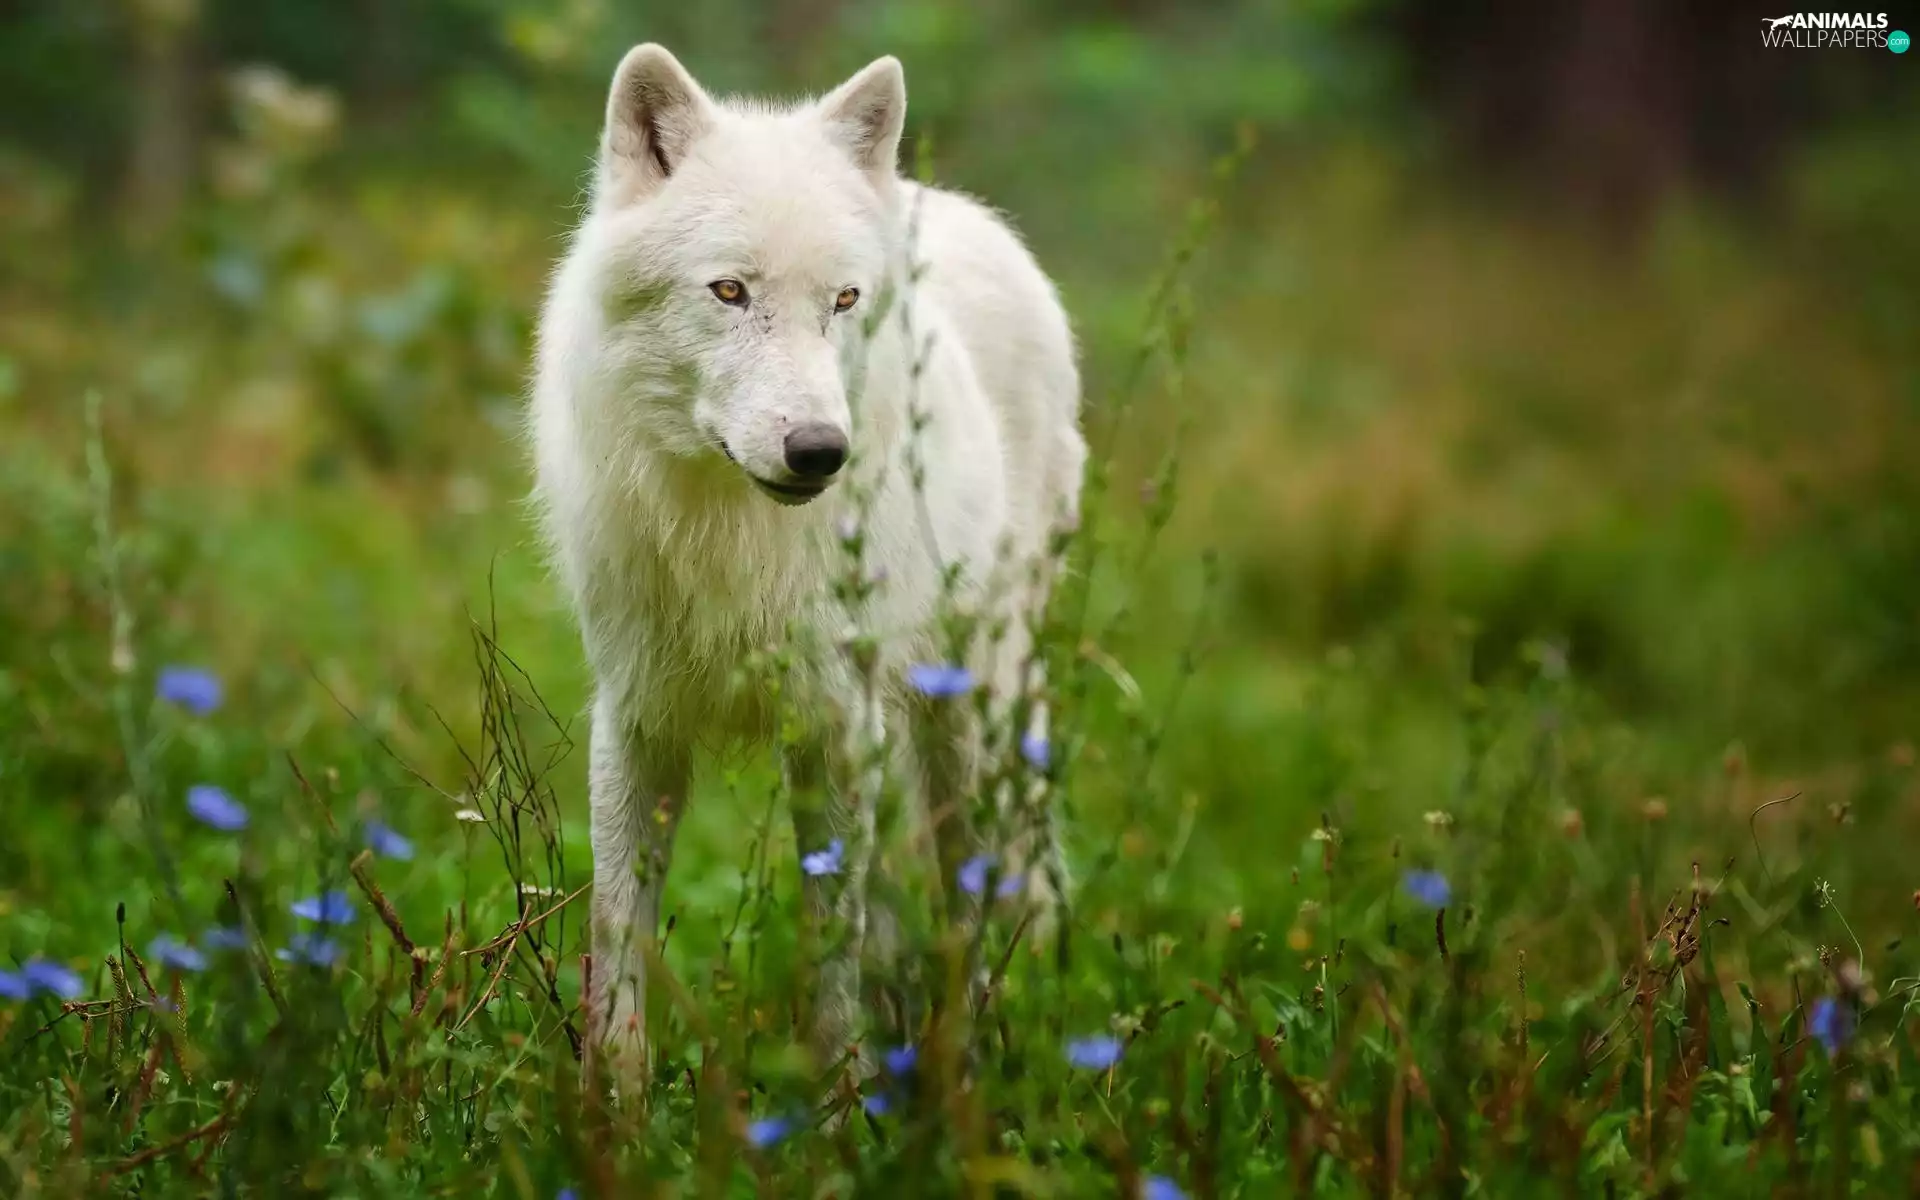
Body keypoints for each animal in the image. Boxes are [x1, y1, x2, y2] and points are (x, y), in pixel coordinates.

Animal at [528, 44, 1087, 1084]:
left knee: (976, 893)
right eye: (730, 292)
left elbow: (835, 945)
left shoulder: (836, 725)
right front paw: (608, 1104)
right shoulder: (636, 718)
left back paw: (979, 1048)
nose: (820, 451)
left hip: (972, 719)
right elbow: (618, 933)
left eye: (843, 301)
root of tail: (946, 201)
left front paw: (837, 1100)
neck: (731, 535)